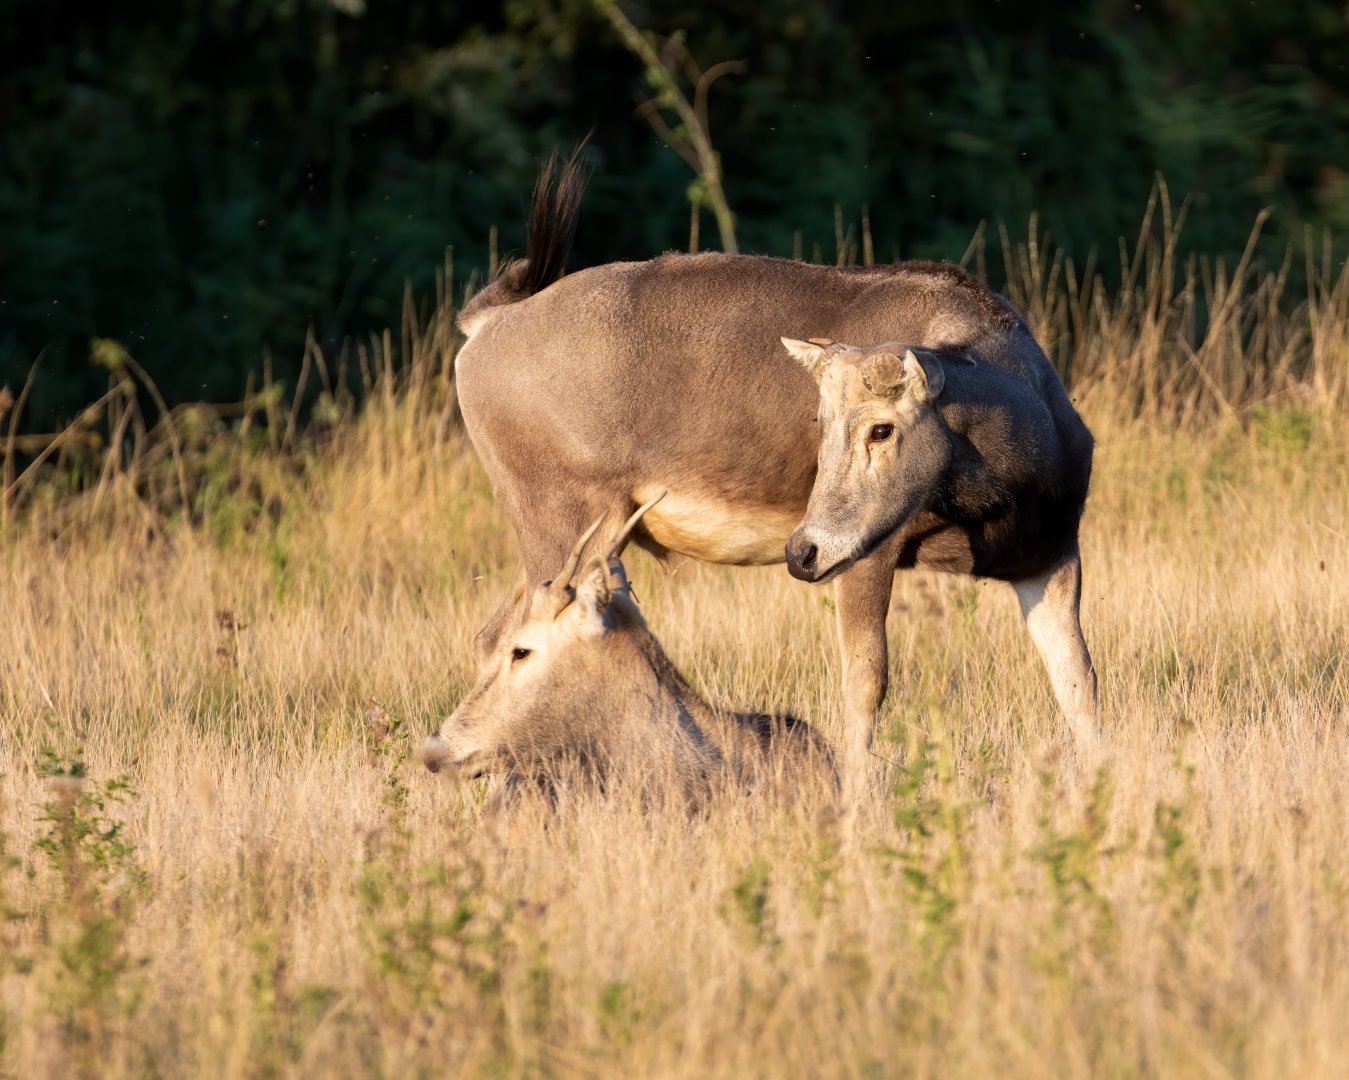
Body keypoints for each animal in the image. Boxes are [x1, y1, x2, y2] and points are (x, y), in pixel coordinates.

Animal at [451, 148, 1098, 784]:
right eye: (819, 422)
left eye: (880, 427)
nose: (801, 551)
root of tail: (480, 332)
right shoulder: (870, 550)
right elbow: (866, 680)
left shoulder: (1052, 552)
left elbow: (1078, 681)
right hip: (559, 515)